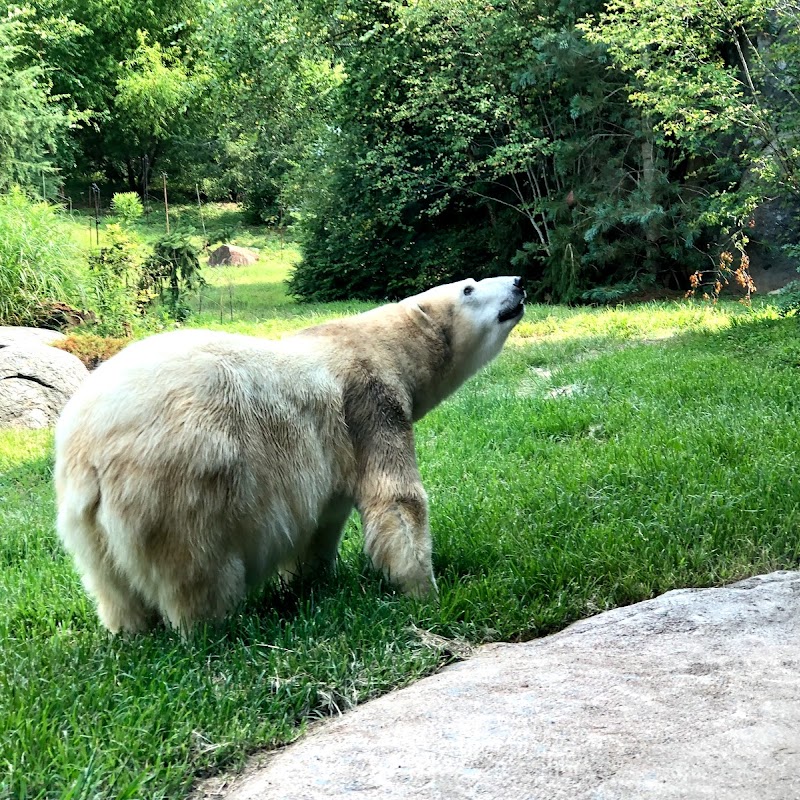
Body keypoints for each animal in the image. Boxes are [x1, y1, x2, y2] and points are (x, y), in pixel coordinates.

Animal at [54, 276, 524, 632]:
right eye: (469, 287)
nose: (519, 282)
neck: (371, 339)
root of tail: (88, 448)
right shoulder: (369, 403)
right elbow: (395, 499)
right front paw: (425, 592)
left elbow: (322, 524)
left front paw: (310, 582)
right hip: (183, 481)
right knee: (200, 572)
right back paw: (214, 628)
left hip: (88, 526)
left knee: (112, 587)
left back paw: (129, 630)